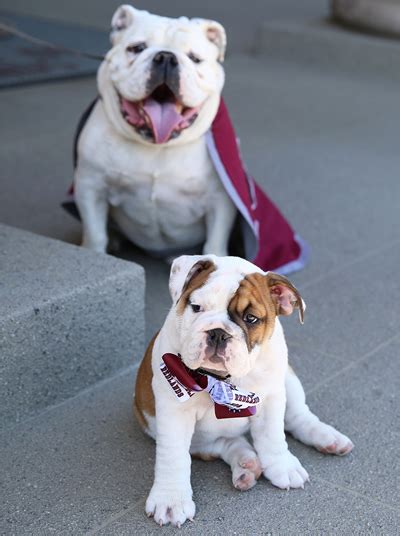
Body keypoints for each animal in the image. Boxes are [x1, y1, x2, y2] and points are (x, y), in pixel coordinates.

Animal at [74, 5, 236, 258]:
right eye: (136, 48)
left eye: (195, 58)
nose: (166, 57)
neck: (158, 147)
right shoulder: (90, 186)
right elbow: (95, 234)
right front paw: (95, 253)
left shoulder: (220, 201)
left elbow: (214, 244)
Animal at [134, 255, 354, 528]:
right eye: (196, 307)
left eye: (251, 319)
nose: (218, 333)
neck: (221, 379)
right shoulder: (175, 410)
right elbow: (173, 456)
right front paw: (170, 500)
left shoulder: (271, 398)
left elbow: (272, 436)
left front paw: (282, 466)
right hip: (198, 440)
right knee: (225, 444)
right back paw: (246, 464)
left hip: (288, 379)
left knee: (297, 417)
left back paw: (327, 438)